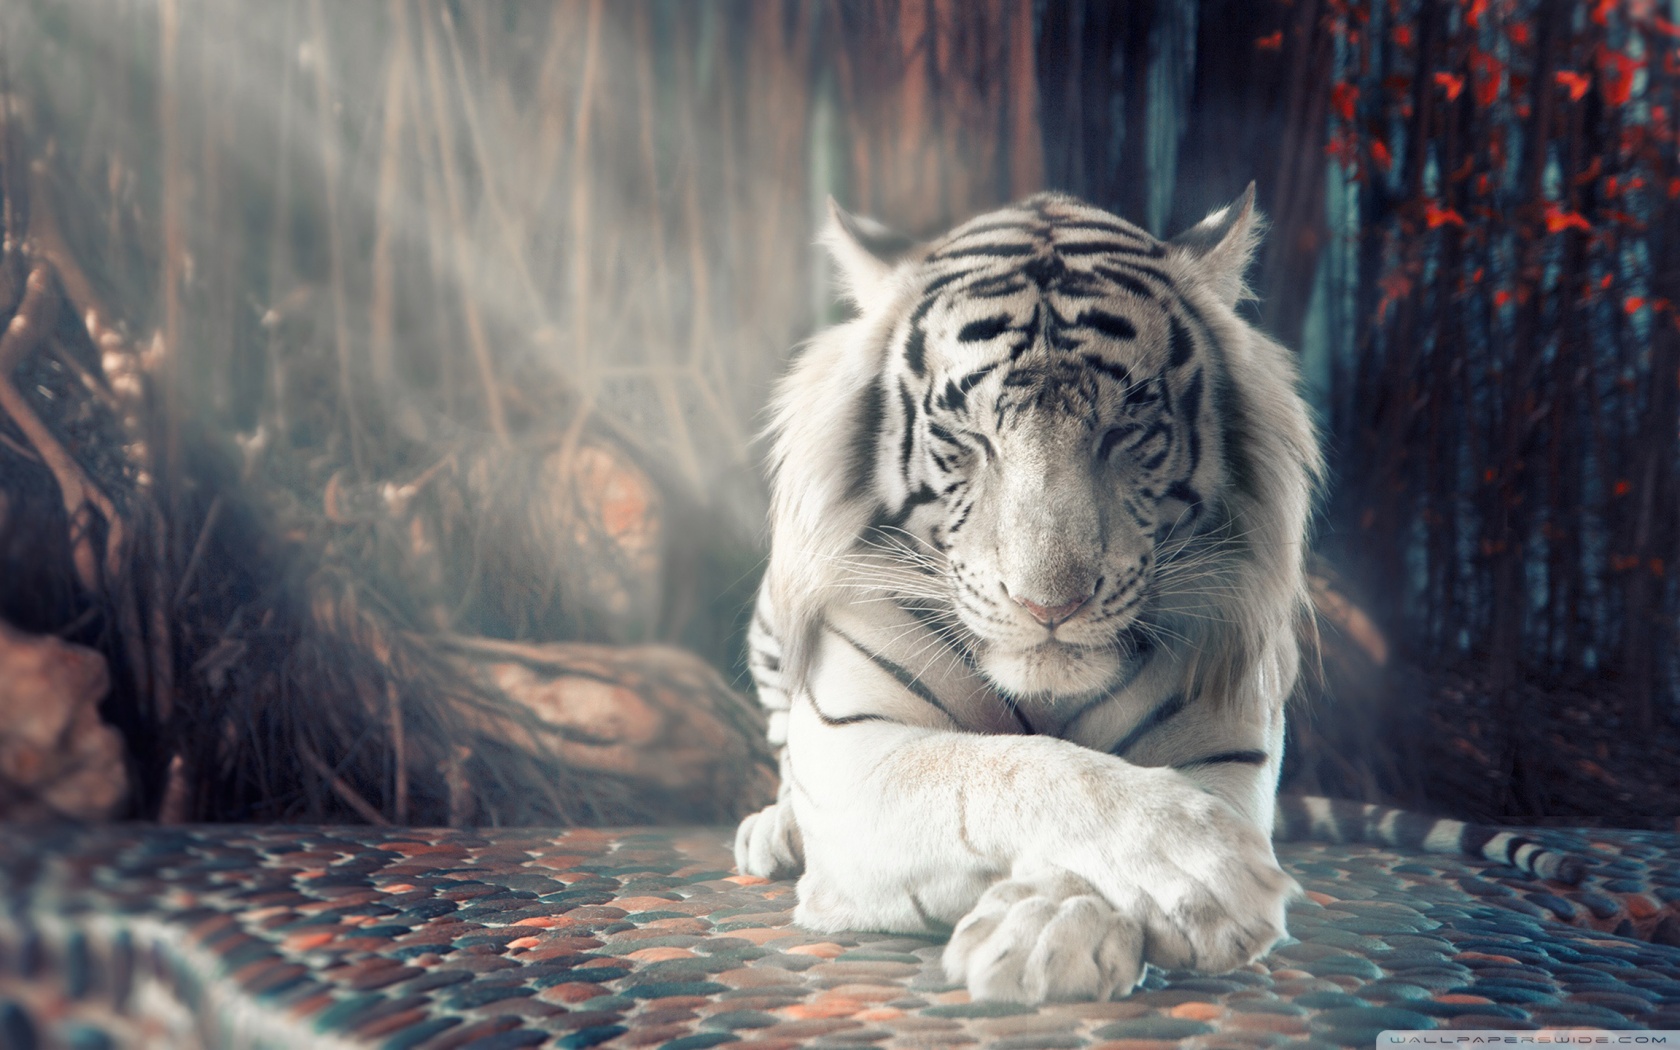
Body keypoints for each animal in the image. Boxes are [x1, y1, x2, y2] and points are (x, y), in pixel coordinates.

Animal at [732, 187, 1581, 1005]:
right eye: (968, 438)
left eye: (1125, 431)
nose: (1049, 606)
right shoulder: (857, 752)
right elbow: (1013, 768)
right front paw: (1201, 871)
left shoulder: (1227, 748)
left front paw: (1050, 930)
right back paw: (774, 831)